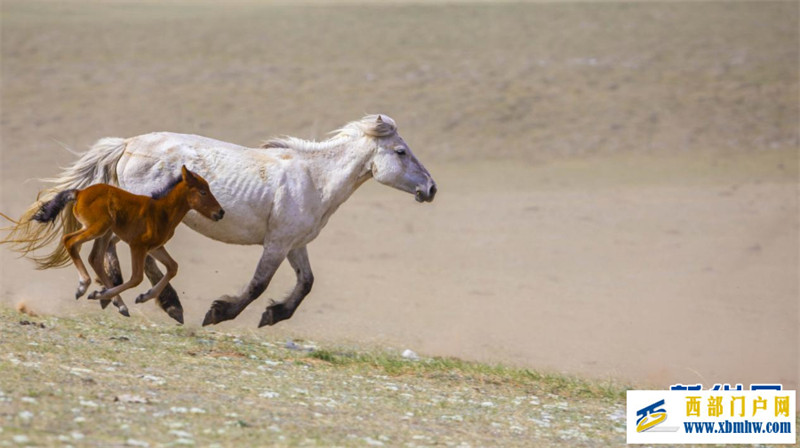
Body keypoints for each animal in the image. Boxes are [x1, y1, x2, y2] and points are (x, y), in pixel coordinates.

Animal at [3, 114, 434, 326]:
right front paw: (219, 313)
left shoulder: (294, 244)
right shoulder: (276, 244)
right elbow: (258, 285)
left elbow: (306, 283)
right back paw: (159, 303)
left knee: (111, 253)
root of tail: (126, 144)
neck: (315, 177)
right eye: (400, 152)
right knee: (125, 253)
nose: (431, 189)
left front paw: (274, 316)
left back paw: (122, 300)